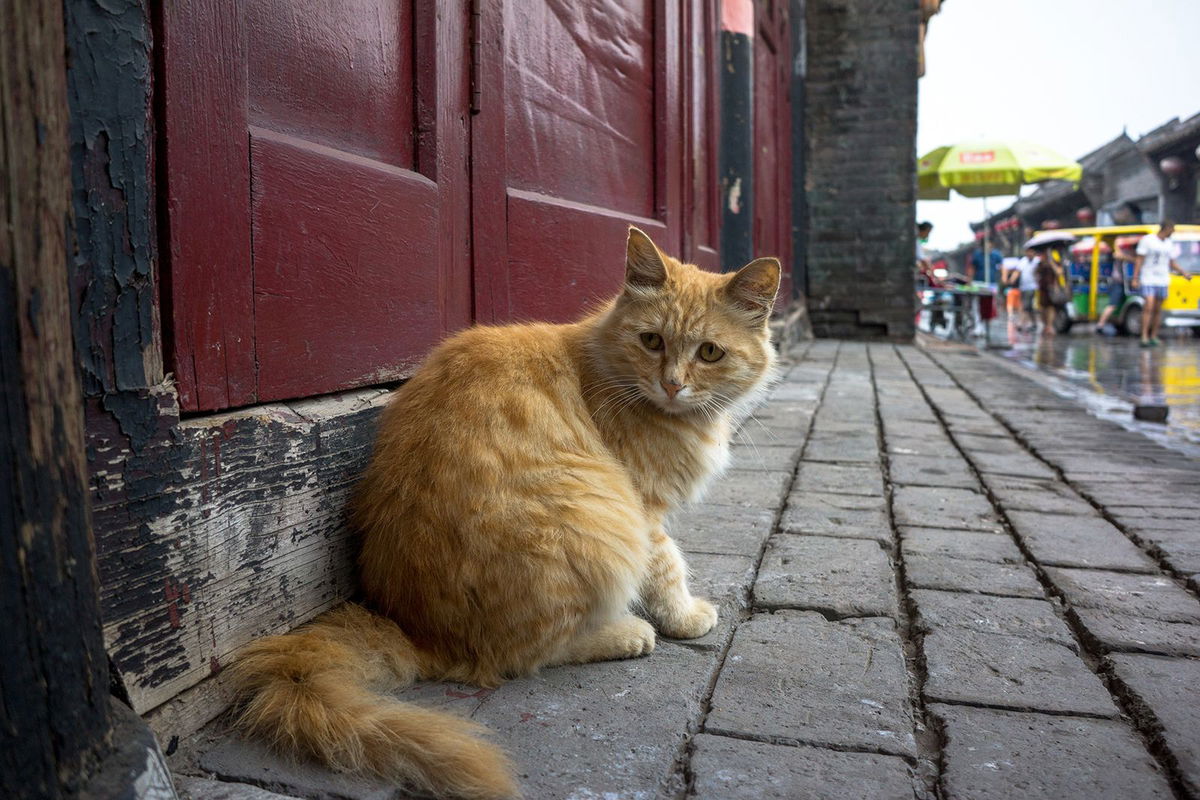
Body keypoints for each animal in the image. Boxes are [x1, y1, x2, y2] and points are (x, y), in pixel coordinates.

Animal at [229, 227, 782, 796]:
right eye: (652, 341)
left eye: (710, 352)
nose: (672, 384)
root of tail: (418, 633)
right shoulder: (643, 509)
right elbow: (669, 566)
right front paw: (685, 616)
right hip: (600, 524)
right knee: (525, 656)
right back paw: (625, 633)